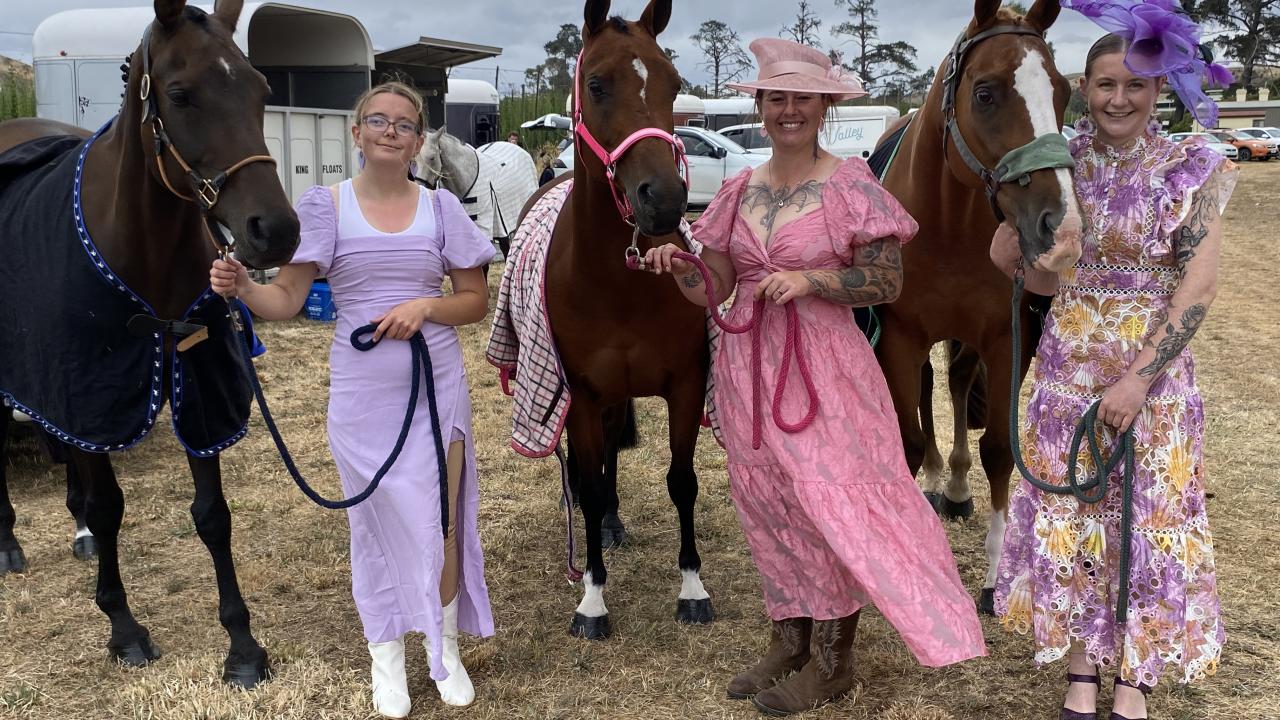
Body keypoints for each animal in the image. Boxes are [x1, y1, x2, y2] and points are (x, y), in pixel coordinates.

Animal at [0, 0, 298, 681]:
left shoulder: (198, 389)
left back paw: (76, 535)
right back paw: (8, 541)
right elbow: (111, 507)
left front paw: (242, 645)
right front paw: (123, 628)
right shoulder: (88, 390)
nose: (276, 231)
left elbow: (212, 515)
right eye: (181, 94)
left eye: (261, 89)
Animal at [529, 0, 711, 638]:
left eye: (674, 84)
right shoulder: (582, 392)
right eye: (596, 84)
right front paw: (592, 598)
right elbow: (584, 484)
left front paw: (692, 588)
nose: (666, 199)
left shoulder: (687, 384)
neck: (619, 281)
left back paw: (612, 520)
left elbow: (682, 481)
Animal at [870, 0, 1080, 609]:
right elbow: (908, 439)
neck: (946, 226)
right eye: (985, 93)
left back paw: (959, 487)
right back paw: (938, 480)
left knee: (960, 383)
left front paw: (995, 577)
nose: (1061, 227)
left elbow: (998, 451)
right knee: (928, 392)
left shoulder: (1007, 338)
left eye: (1064, 91)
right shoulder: (900, 338)